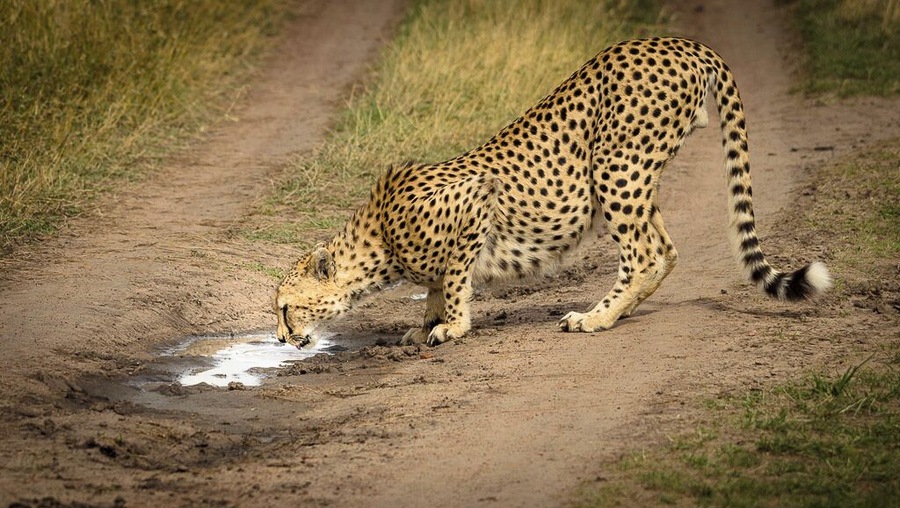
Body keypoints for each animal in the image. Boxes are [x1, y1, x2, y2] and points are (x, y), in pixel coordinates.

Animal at [275, 36, 831, 349]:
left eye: (284, 308)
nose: (281, 339)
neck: (378, 242)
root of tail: (682, 43)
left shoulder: (475, 203)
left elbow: (453, 278)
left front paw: (451, 327)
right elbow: (435, 284)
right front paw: (424, 322)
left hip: (614, 166)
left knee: (645, 254)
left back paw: (595, 317)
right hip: (634, 174)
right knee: (666, 250)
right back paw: (621, 311)